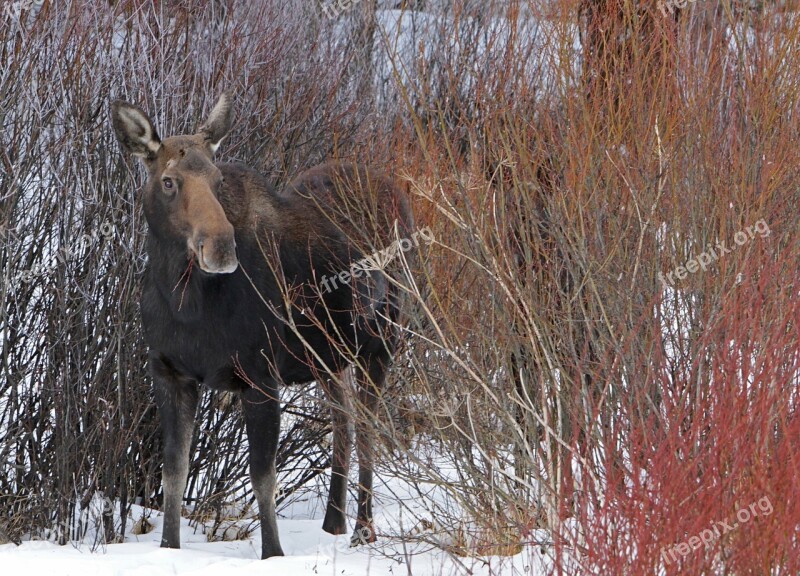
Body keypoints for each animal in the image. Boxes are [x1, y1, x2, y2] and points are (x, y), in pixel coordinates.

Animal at [112, 93, 412, 560]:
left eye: (218, 179)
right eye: (169, 181)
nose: (220, 247)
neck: (186, 302)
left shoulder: (260, 375)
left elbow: (263, 477)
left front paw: (274, 554)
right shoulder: (169, 372)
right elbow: (173, 473)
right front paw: (168, 547)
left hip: (380, 342)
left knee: (367, 428)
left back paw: (364, 529)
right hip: (328, 356)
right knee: (343, 422)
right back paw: (334, 523)